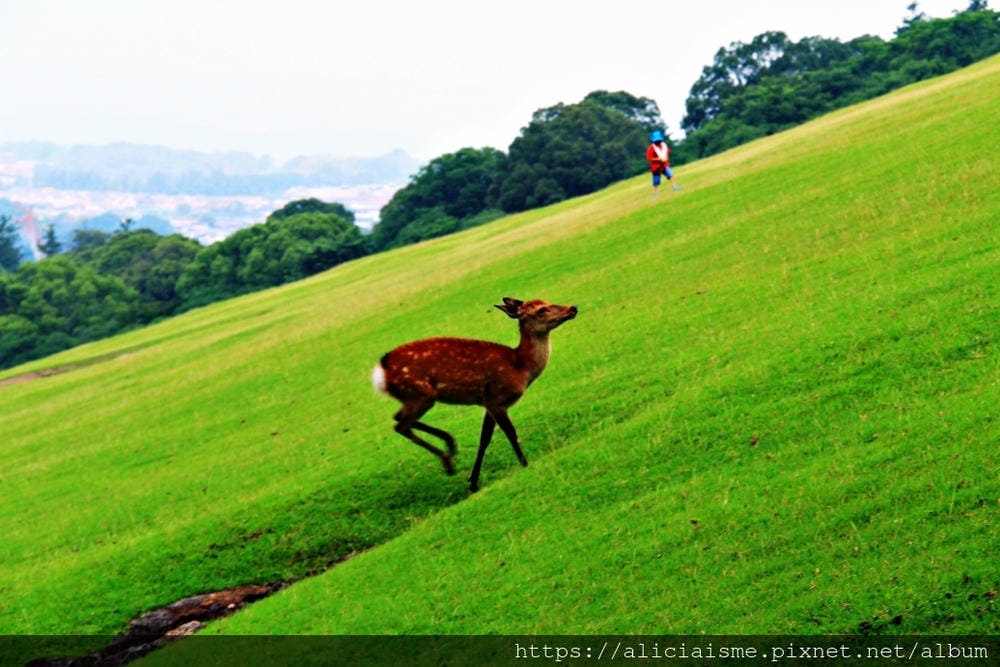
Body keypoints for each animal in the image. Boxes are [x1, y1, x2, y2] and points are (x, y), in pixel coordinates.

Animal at [372, 297, 578, 492]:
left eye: (546, 301)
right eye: (541, 310)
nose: (573, 308)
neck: (521, 368)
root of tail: (380, 372)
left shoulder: (487, 403)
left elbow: (484, 438)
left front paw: (472, 482)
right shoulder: (496, 398)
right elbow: (510, 432)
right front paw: (524, 463)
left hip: (415, 396)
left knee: (398, 418)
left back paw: (450, 444)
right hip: (420, 393)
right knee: (401, 424)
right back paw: (447, 460)